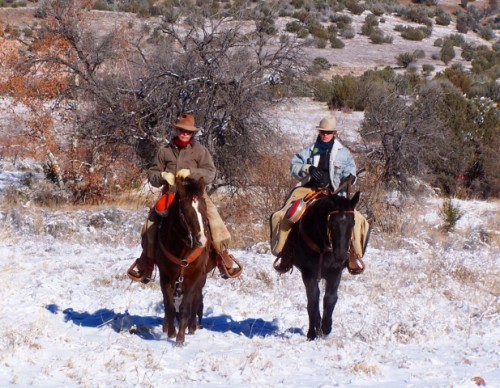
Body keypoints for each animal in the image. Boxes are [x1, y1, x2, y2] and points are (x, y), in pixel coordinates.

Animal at [154, 177, 213, 346]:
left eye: (204, 208)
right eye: (185, 211)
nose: (202, 240)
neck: (182, 249)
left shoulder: (194, 277)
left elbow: (186, 306)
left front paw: (180, 338)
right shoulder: (165, 276)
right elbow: (169, 305)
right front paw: (171, 332)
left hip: (200, 279)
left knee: (197, 300)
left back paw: (191, 326)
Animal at [282, 191, 360, 340]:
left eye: (353, 222)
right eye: (332, 223)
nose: (341, 255)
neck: (324, 247)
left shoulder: (335, 272)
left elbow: (330, 298)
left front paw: (326, 327)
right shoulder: (309, 274)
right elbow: (313, 300)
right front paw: (313, 332)